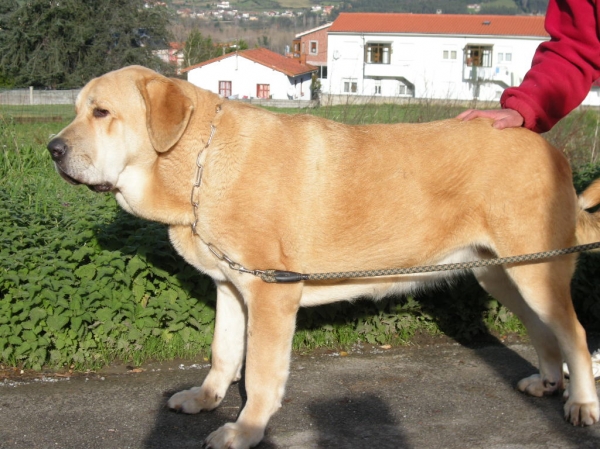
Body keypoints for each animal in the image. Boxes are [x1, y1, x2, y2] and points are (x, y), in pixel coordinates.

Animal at [48, 66, 600, 448]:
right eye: (75, 110)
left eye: (101, 113)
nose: (52, 149)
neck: (199, 161)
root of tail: (551, 149)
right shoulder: (230, 288)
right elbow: (223, 354)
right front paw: (205, 400)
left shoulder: (271, 294)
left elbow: (260, 374)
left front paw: (245, 430)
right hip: (501, 273)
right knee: (542, 330)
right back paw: (548, 382)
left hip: (536, 271)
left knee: (573, 333)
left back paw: (581, 403)